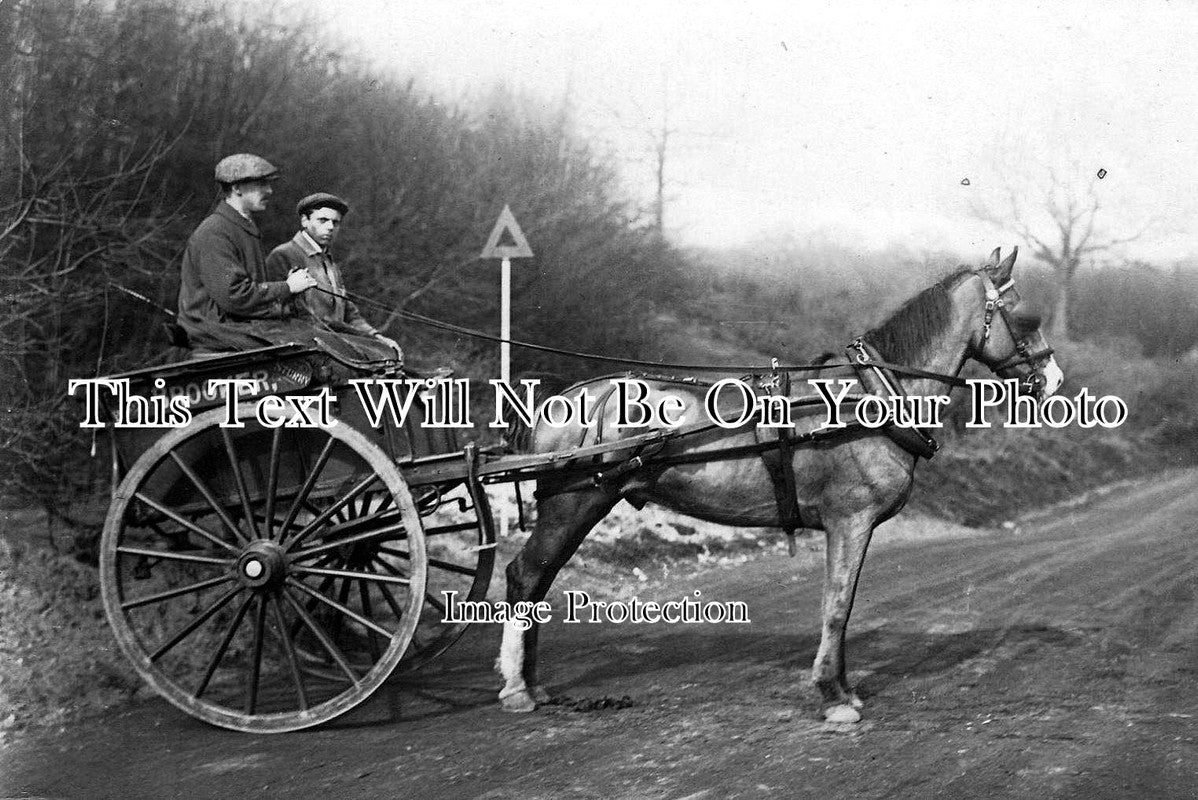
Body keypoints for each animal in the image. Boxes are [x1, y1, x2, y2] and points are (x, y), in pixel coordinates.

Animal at [491, 246, 1063, 723]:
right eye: (1025, 317)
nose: (1055, 380)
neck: (872, 394)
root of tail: (562, 398)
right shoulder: (849, 521)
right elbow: (838, 604)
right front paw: (833, 695)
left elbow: (842, 606)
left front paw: (843, 688)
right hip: (574, 502)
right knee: (526, 575)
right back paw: (518, 688)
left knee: (535, 580)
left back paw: (532, 685)